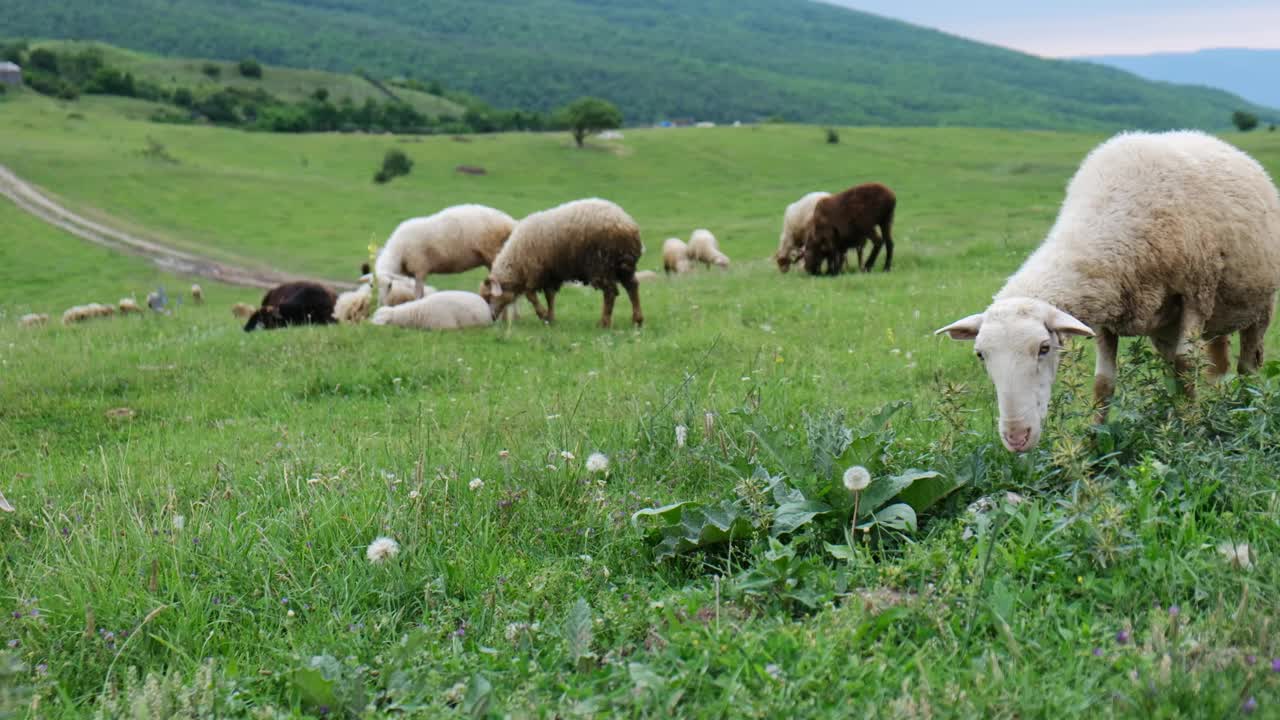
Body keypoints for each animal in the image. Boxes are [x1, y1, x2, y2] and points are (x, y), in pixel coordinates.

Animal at [371, 204, 514, 299]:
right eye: (373, 286)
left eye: (390, 285)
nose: (382, 304)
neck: (398, 252)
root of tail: (510, 222)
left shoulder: (420, 268)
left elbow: (418, 294)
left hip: (495, 253)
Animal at [478, 198, 645, 327]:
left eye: (488, 297)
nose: (491, 319)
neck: (516, 263)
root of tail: (626, 224)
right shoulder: (550, 274)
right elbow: (550, 296)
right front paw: (551, 318)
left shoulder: (536, 271)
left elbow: (531, 295)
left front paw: (543, 315)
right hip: (624, 265)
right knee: (632, 287)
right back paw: (637, 320)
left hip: (602, 264)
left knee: (610, 292)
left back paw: (604, 322)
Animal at [931, 130, 1280, 448]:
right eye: (980, 354)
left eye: (1044, 348)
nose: (1017, 438)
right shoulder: (1104, 314)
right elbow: (1103, 383)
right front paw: (1093, 442)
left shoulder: (1196, 292)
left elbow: (1185, 364)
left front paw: (1192, 430)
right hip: (1182, 323)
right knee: (1204, 365)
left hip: (1258, 305)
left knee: (1246, 366)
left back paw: (1247, 410)